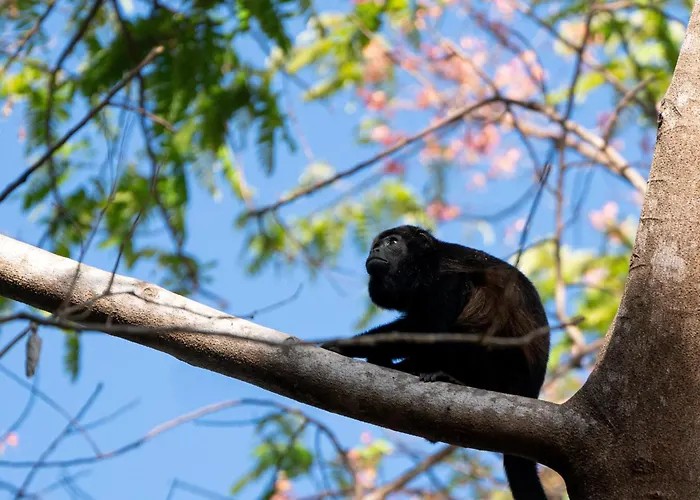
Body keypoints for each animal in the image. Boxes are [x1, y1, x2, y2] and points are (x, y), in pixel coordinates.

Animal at [322, 225, 550, 500]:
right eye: (376, 245)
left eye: (392, 242)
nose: (375, 250)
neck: (425, 267)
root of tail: (530, 392)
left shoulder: (445, 280)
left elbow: (427, 326)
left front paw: (346, 345)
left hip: (505, 367)